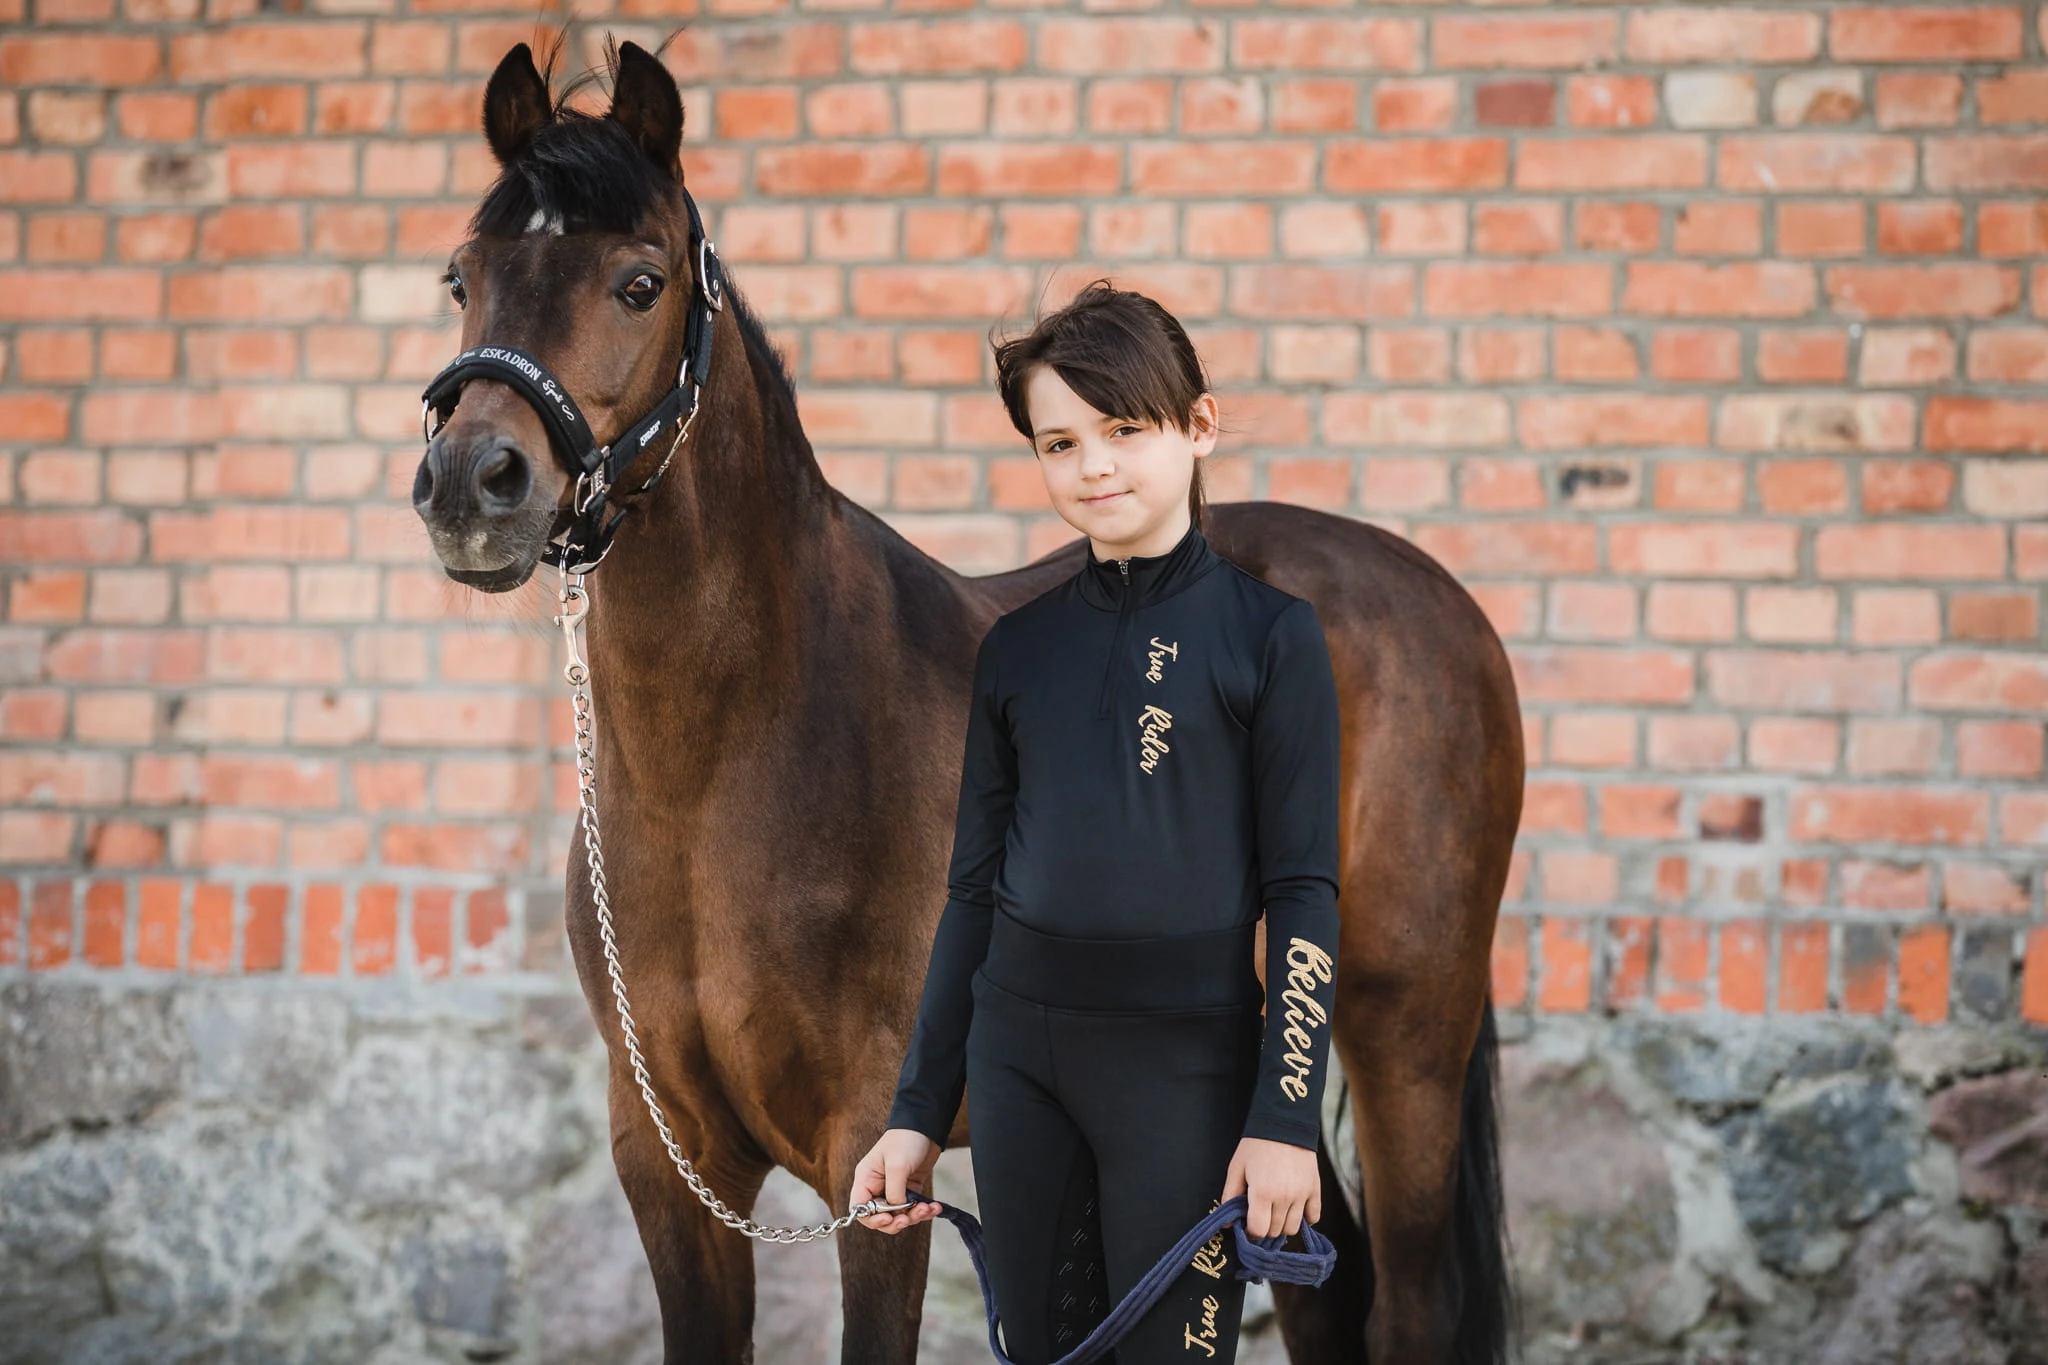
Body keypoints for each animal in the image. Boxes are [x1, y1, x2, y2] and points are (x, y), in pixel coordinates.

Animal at [412, 38, 1523, 1365]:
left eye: (638, 283)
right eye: (462, 276)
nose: (471, 485)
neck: (730, 762)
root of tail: (1441, 603)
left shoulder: (870, 1165)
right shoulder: (668, 1165)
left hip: (1403, 1037)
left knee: (1406, 1299)